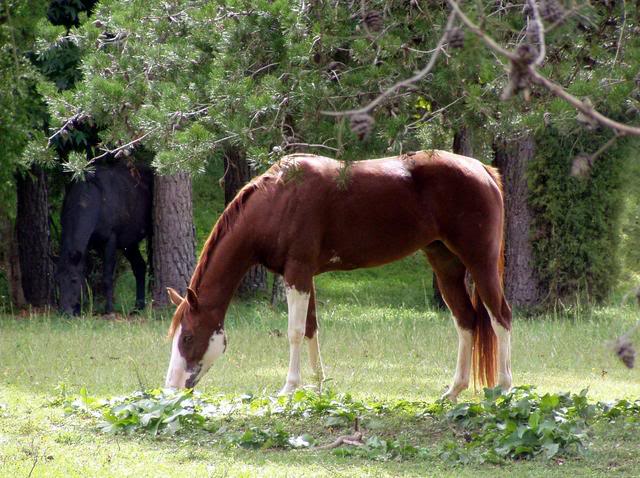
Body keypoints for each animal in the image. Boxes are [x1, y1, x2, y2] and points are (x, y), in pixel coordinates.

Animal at [56, 162, 152, 316]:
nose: (65, 311)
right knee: (140, 266)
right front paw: (81, 308)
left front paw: (109, 309)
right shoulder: (88, 245)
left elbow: (107, 277)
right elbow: (86, 275)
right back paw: (138, 307)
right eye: (57, 281)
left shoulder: (110, 239)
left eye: (73, 280)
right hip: (129, 243)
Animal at [166, 151, 516, 402]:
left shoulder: (297, 272)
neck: (280, 198)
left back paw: (503, 388)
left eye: (188, 337)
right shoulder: (304, 275)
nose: (171, 387)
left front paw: (289, 388)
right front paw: (320, 387)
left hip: (480, 262)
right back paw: (453, 391)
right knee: (466, 321)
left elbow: (295, 332)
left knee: (500, 318)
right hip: (446, 265)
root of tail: (482, 169)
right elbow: (311, 329)